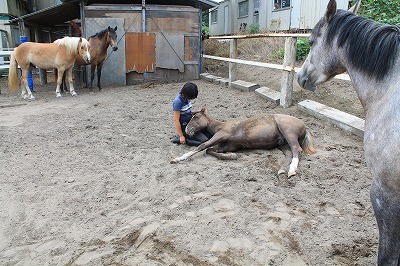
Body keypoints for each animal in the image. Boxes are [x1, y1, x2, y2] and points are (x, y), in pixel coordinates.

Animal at [170, 107, 314, 178]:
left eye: (196, 117)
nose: (187, 130)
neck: (220, 126)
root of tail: (304, 126)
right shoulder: (227, 146)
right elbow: (210, 150)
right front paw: (231, 156)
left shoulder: (221, 135)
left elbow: (203, 146)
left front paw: (178, 159)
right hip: (282, 144)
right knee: (289, 153)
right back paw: (282, 170)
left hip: (288, 132)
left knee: (297, 150)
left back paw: (291, 171)